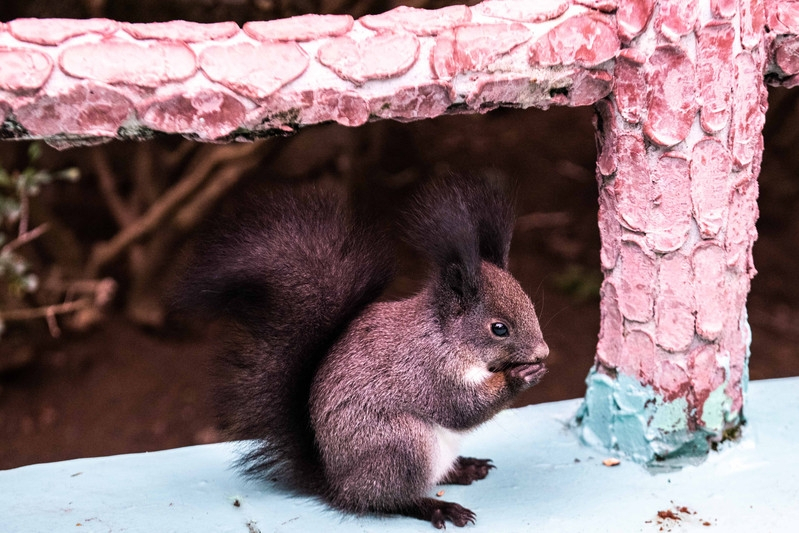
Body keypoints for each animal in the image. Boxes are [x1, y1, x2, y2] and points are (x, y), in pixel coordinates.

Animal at [181, 175, 552, 528]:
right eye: (499, 328)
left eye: (530, 303)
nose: (543, 352)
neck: (445, 336)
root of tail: (337, 485)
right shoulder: (425, 371)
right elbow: (461, 409)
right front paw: (521, 376)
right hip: (401, 446)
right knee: (388, 500)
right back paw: (437, 507)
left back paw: (465, 469)